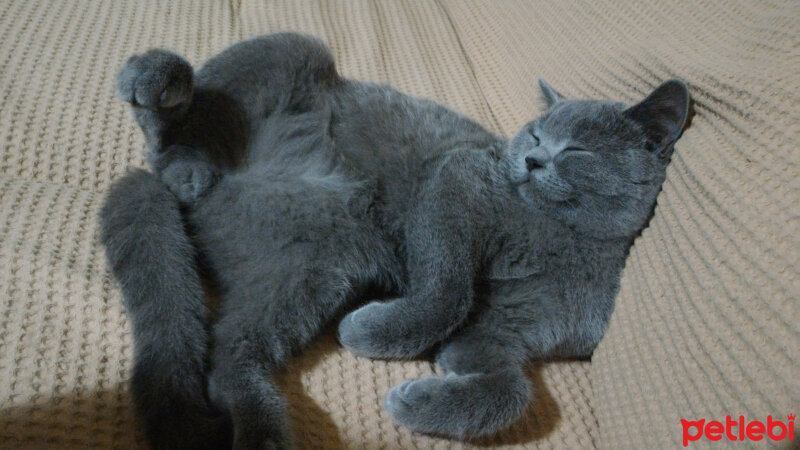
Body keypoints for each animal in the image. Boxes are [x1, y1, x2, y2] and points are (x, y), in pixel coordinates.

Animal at [98, 33, 688, 448]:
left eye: (578, 151)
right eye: (535, 133)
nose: (531, 159)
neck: (562, 242)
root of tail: (217, 189)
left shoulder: (502, 335)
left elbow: (511, 391)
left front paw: (421, 400)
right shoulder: (456, 182)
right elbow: (448, 291)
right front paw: (371, 333)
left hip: (313, 262)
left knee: (228, 354)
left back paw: (264, 432)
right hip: (294, 51)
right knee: (171, 130)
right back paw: (167, 109)